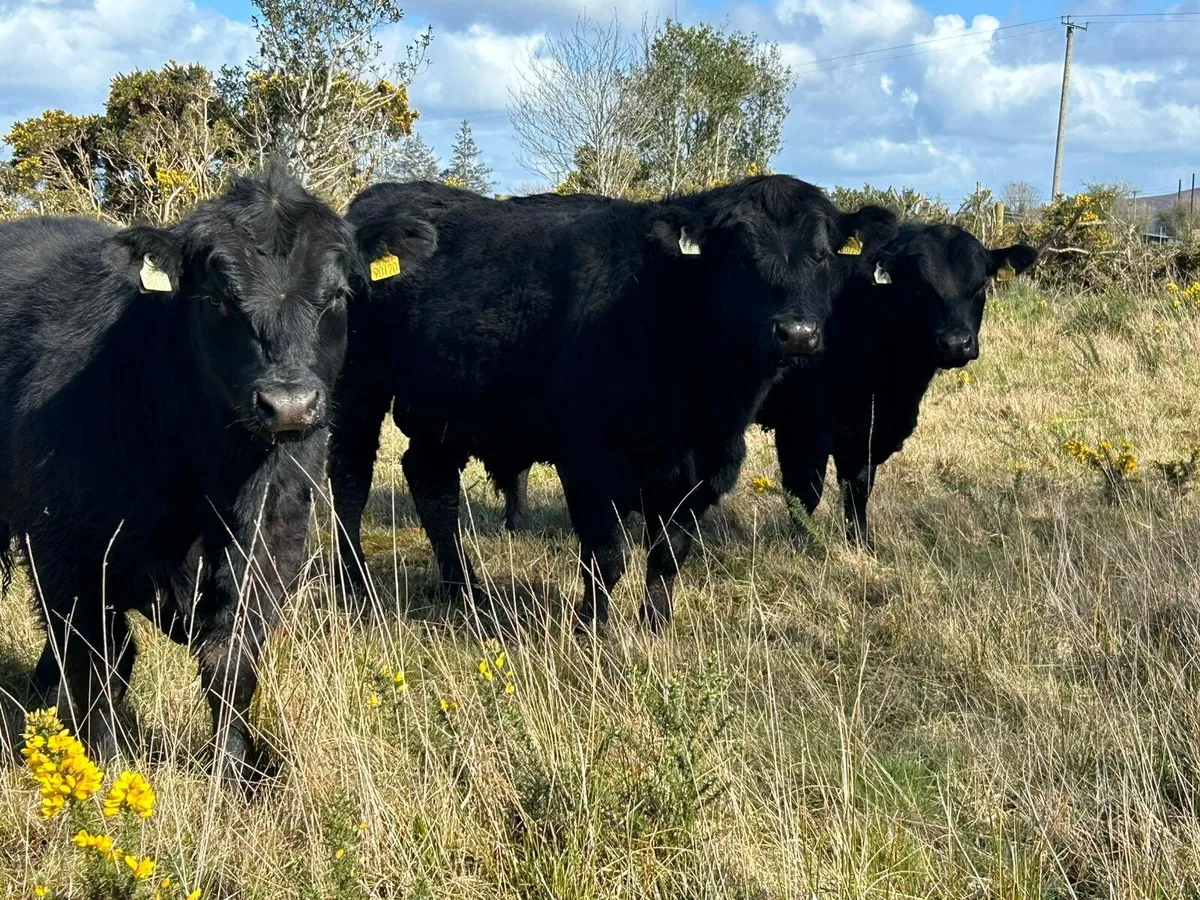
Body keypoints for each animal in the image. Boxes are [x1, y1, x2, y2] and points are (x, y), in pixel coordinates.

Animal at [0, 164, 435, 789]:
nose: (289, 404)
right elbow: (100, 663)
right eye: (218, 298)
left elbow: (229, 664)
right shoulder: (66, 552)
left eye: (338, 295)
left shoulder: (271, 546)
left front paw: (232, 772)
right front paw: (102, 764)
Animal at [329, 175, 898, 632]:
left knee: (432, 484)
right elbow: (606, 553)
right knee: (350, 480)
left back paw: (465, 590)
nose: (797, 333)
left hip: (443, 409)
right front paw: (594, 628)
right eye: (741, 255)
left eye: (822, 255)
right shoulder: (591, 458)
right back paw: (355, 586)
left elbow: (669, 553)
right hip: (356, 389)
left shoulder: (705, 467)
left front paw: (655, 625)